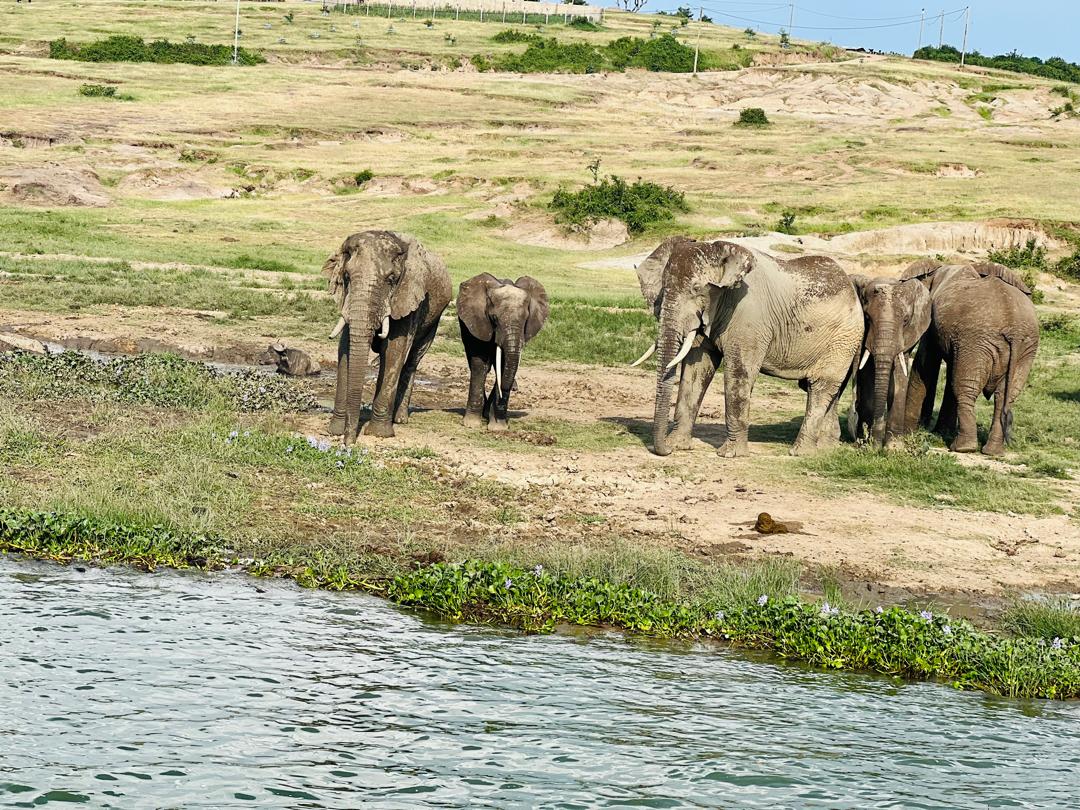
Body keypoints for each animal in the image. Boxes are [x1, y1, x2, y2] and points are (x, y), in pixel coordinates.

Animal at [323, 230, 451, 443]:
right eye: (347, 276)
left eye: (391, 279)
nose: (349, 443)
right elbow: (345, 347)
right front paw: (335, 431)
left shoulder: (408, 297)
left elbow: (394, 350)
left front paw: (378, 433)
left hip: (434, 318)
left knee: (413, 359)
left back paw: (399, 419)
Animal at [456, 273, 549, 430]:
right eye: (494, 318)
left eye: (526, 319)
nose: (515, 388)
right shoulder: (478, 321)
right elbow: (480, 363)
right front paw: (471, 424)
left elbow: (505, 364)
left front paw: (498, 427)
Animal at [635, 237, 863, 457]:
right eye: (663, 288)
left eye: (696, 289)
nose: (665, 450)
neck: (719, 250)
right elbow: (697, 368)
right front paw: (677, 446)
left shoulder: (749, 316)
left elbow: (739, 371)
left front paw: (730, 455)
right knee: (828, 390)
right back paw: (825, 449)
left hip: (843, 339)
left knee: (820, 387)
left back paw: (800, 453)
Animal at [846, 275, 932, 447]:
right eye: (867, 318)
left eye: (905, 320)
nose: (876, 443)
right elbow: (868, 375)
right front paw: (869, 443)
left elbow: (899, 376)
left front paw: (893, 447)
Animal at [900, 260, 1038, 455]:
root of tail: (1015, 329)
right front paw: (940, 432)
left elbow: (926, 363)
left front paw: (910, 431)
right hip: (1021, 347)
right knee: (1004, 395)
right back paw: (992, 451)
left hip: (980, 340)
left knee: (966, 388)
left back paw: (962, 448)